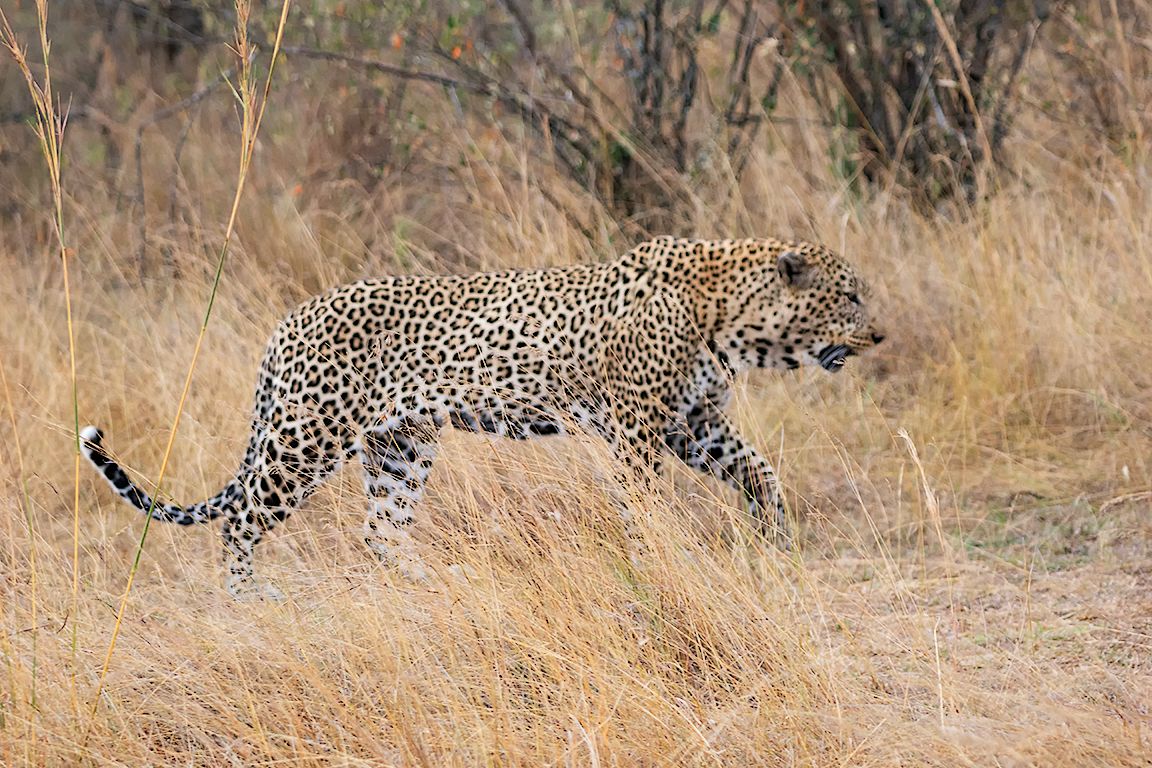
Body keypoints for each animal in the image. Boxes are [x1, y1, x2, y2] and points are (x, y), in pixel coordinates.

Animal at [81, 236, 884, 597]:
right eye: (848, 297)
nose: (879, 336)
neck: (732, 320)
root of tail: (286, 324)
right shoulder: (639, 427)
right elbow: (644, 506)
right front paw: (658, 565)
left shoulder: (694, 423)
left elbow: (759, 469)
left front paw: (775, 533)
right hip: (308, 436)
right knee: (243, 515)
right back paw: (249, 593)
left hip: (401, 444)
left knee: (381, 529)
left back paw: (433, 581)